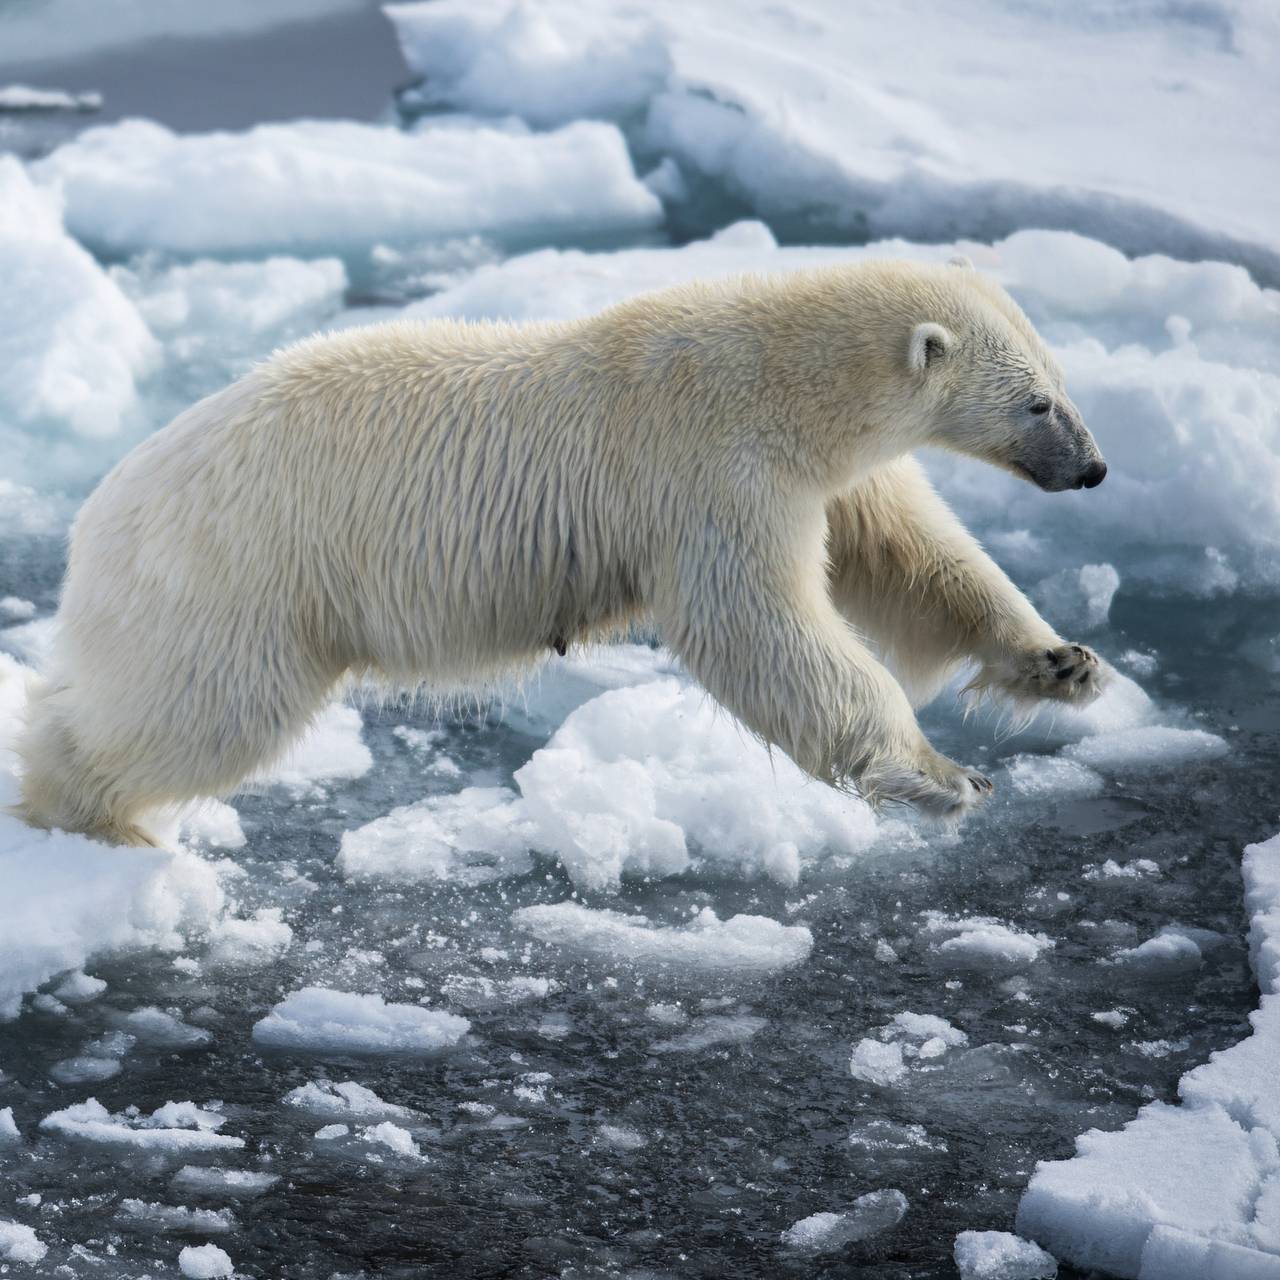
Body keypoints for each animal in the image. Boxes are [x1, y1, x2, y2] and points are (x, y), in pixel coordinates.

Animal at [15, 259, 1105, 844]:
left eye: (1060, 379)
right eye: (1035, 402)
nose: (1093, 468)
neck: (778, 378)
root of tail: (99, 508)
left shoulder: (825, 476)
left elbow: (914, 559)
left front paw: (1062, 663)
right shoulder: (708, 472)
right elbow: (762, 627)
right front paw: (942, 773)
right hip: (240, 572)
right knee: (200, 707)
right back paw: (87, 809)